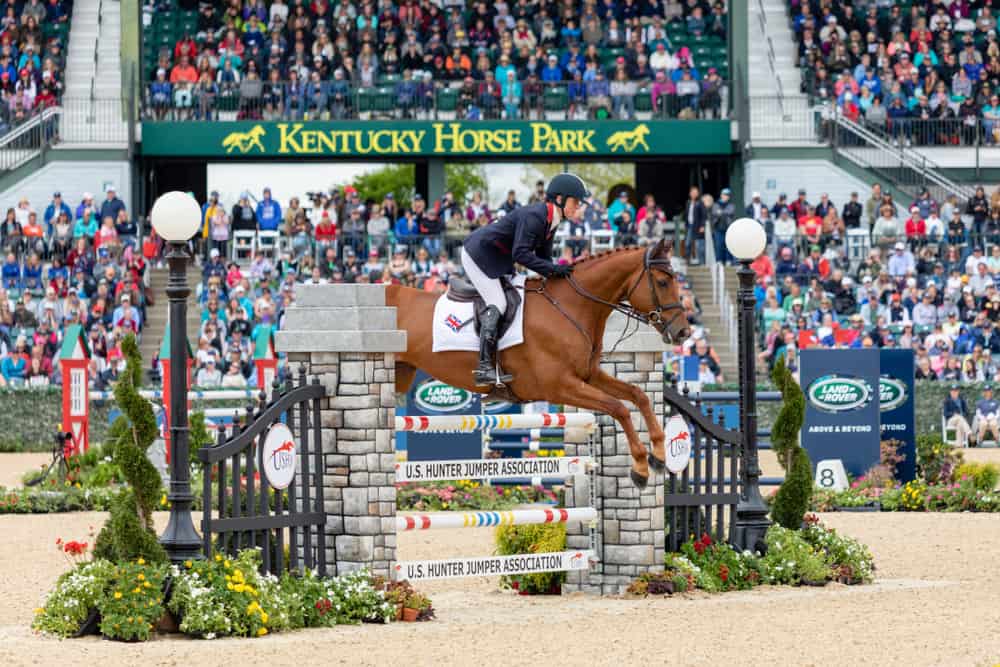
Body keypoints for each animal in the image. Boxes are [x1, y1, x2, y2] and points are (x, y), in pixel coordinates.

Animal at [386, 239, 690, 488]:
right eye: (663, 282)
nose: (683, 332)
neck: (571, 306)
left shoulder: (588, 376)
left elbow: (639, 396)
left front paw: (659, 456)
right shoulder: (560, 386)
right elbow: (619, 408)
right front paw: (640, 468)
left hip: (402, 374)